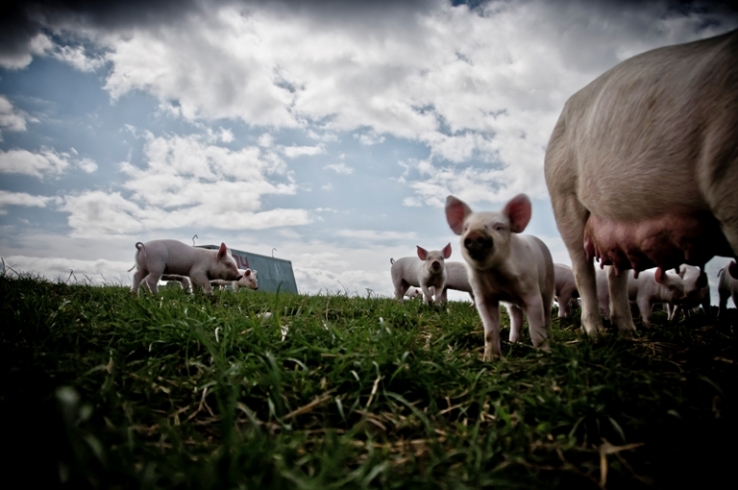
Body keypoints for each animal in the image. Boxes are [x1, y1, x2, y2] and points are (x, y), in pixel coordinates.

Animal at [442, 193, 552, 362]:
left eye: (499, 227)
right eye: (466, 228)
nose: (474, 235)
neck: (496, 276)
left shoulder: (532, 291)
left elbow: (536, 328)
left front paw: (544, 357)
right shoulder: (482, 296)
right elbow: (490, 330)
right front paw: (489, 359)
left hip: (549, 283)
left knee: (546, 313)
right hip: (514, 304)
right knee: (516, 315)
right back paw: (513, 341)